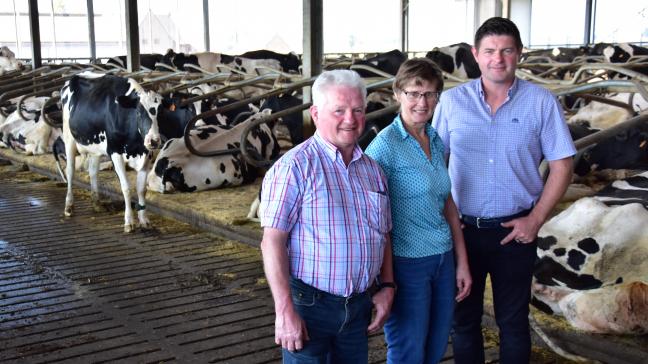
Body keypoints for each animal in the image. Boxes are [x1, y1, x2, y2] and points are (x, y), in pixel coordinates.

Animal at [61, 73, 162, 233]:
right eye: (138, 112)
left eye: (161, 112)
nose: (153, 141)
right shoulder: (115, 153)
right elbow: (126, 188)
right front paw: (129, 222)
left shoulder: (146, 156)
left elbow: (141, 189)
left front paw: (144, 220)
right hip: (69, 138)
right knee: (70, 171)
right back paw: (69, 207)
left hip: (95, 147)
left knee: (93, 172)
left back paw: (96, 203)